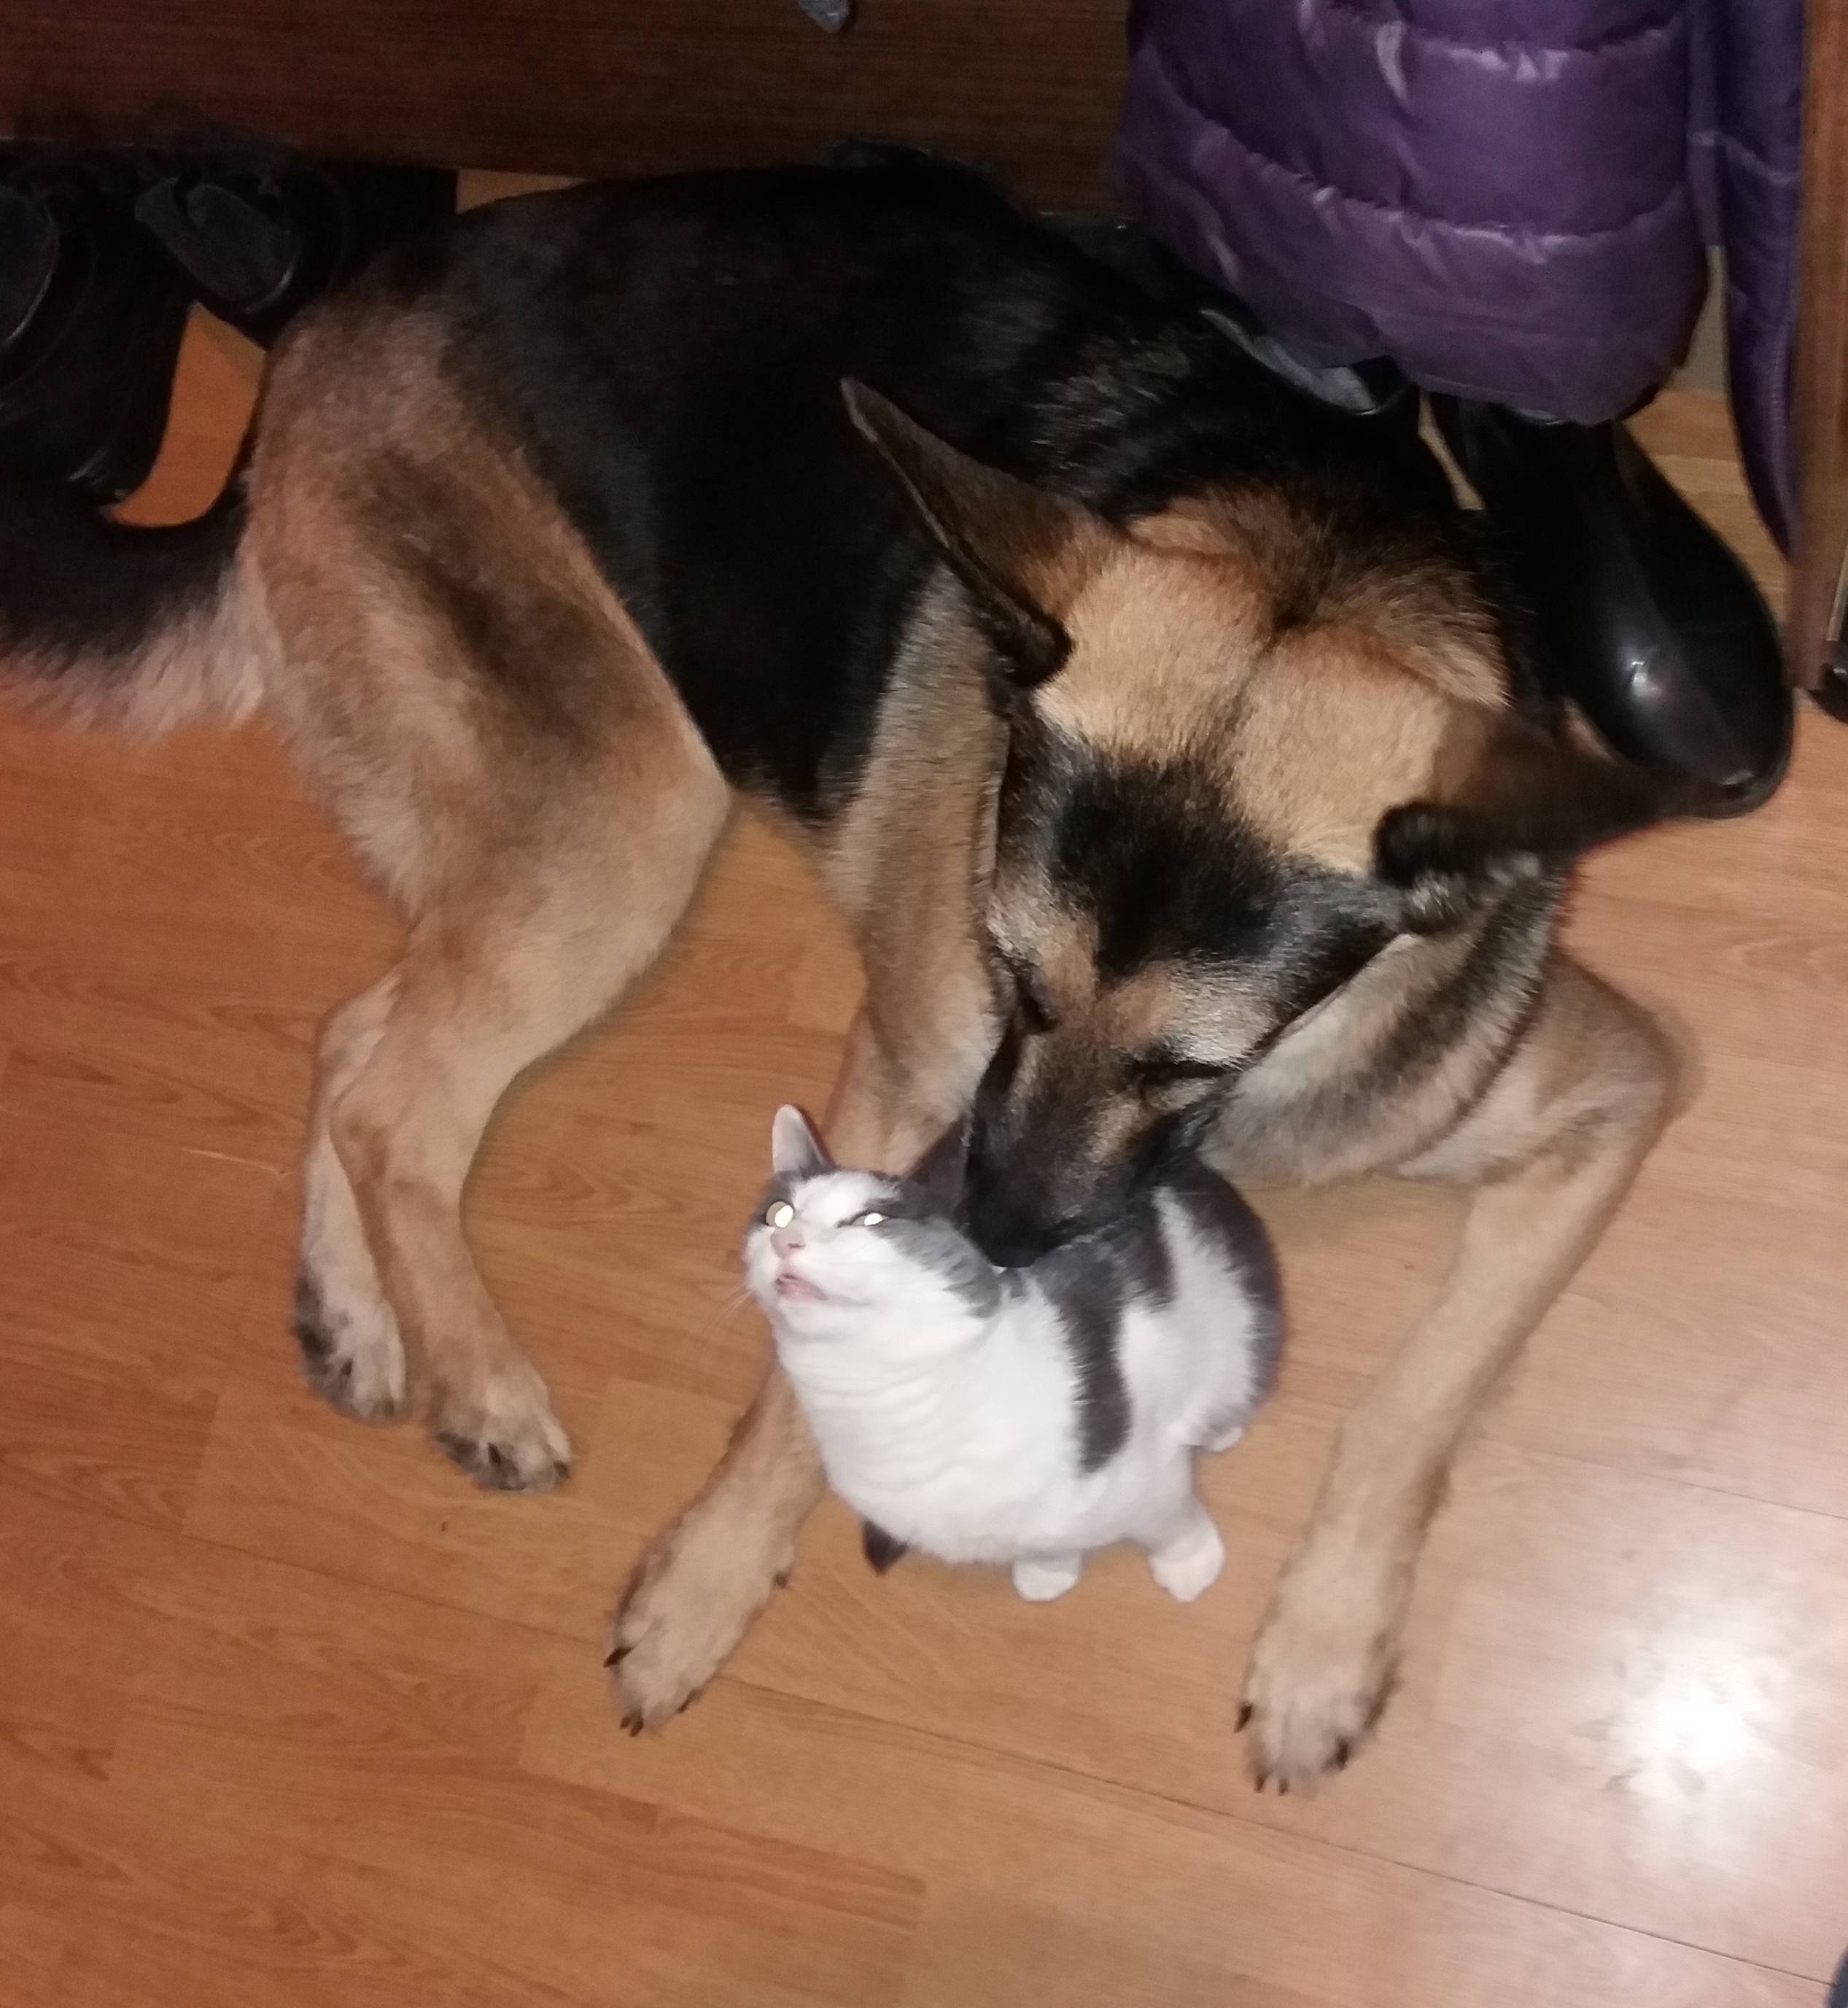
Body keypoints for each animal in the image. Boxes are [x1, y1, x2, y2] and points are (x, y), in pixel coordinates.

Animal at [745, 1105, 1282, 1604]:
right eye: (778, 1213)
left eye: (871, 1220)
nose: (786, 1240)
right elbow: (1044, 1542)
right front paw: (1049, 1572)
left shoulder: (1147, 1474)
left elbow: (1168, 1521)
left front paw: (1191, 1564)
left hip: (1240, 1324)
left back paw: (1216, 1429)